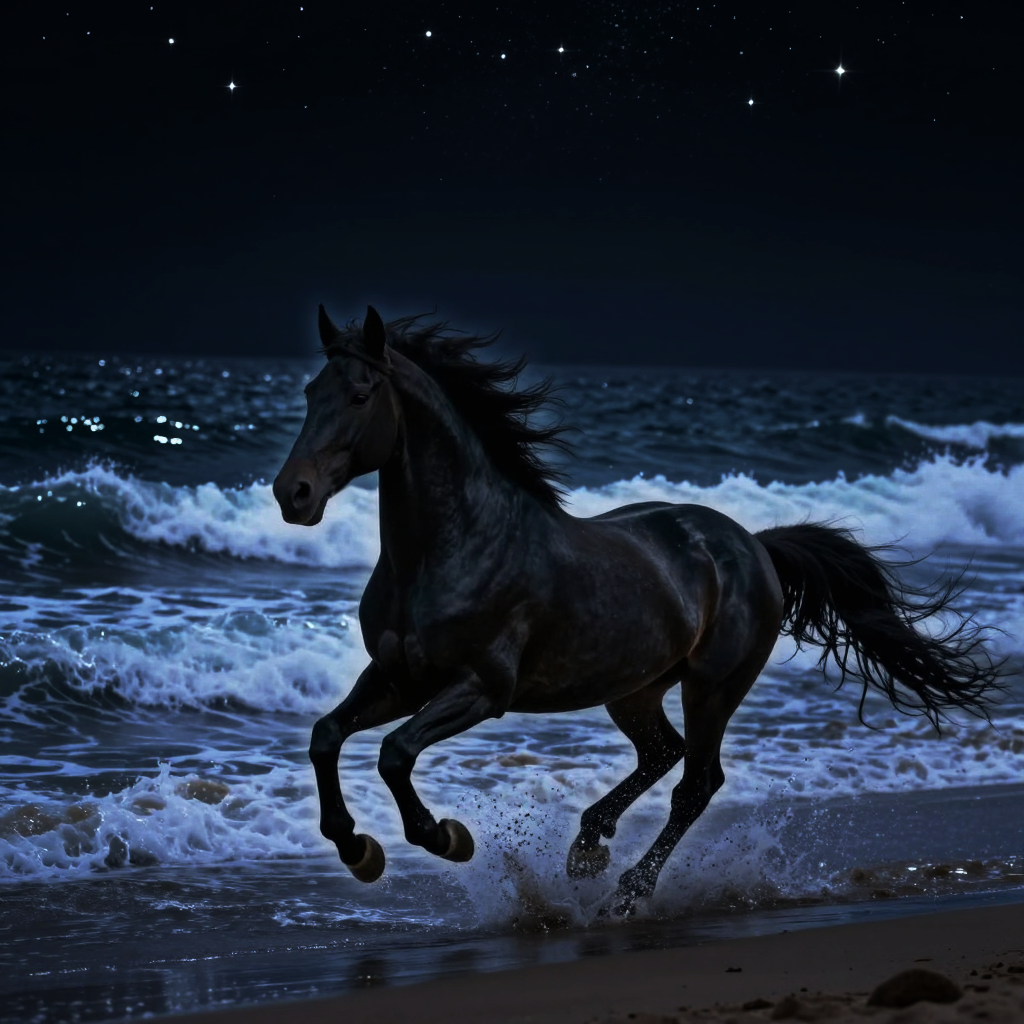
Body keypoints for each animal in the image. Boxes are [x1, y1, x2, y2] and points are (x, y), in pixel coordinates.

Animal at [273, 304, 1003, 915]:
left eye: (360, 395)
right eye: (310, 393)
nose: (292, 494)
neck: (452, 548)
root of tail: (754, 545)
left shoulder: (480, 689)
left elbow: (394, 752)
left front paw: (446, 838)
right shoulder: (398, 677)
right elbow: (326, 736)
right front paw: (357, 849)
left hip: (713, 686)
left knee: (697, 780)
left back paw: (628, 888)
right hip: (634, 688)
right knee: (663, 752)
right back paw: (587, 848)